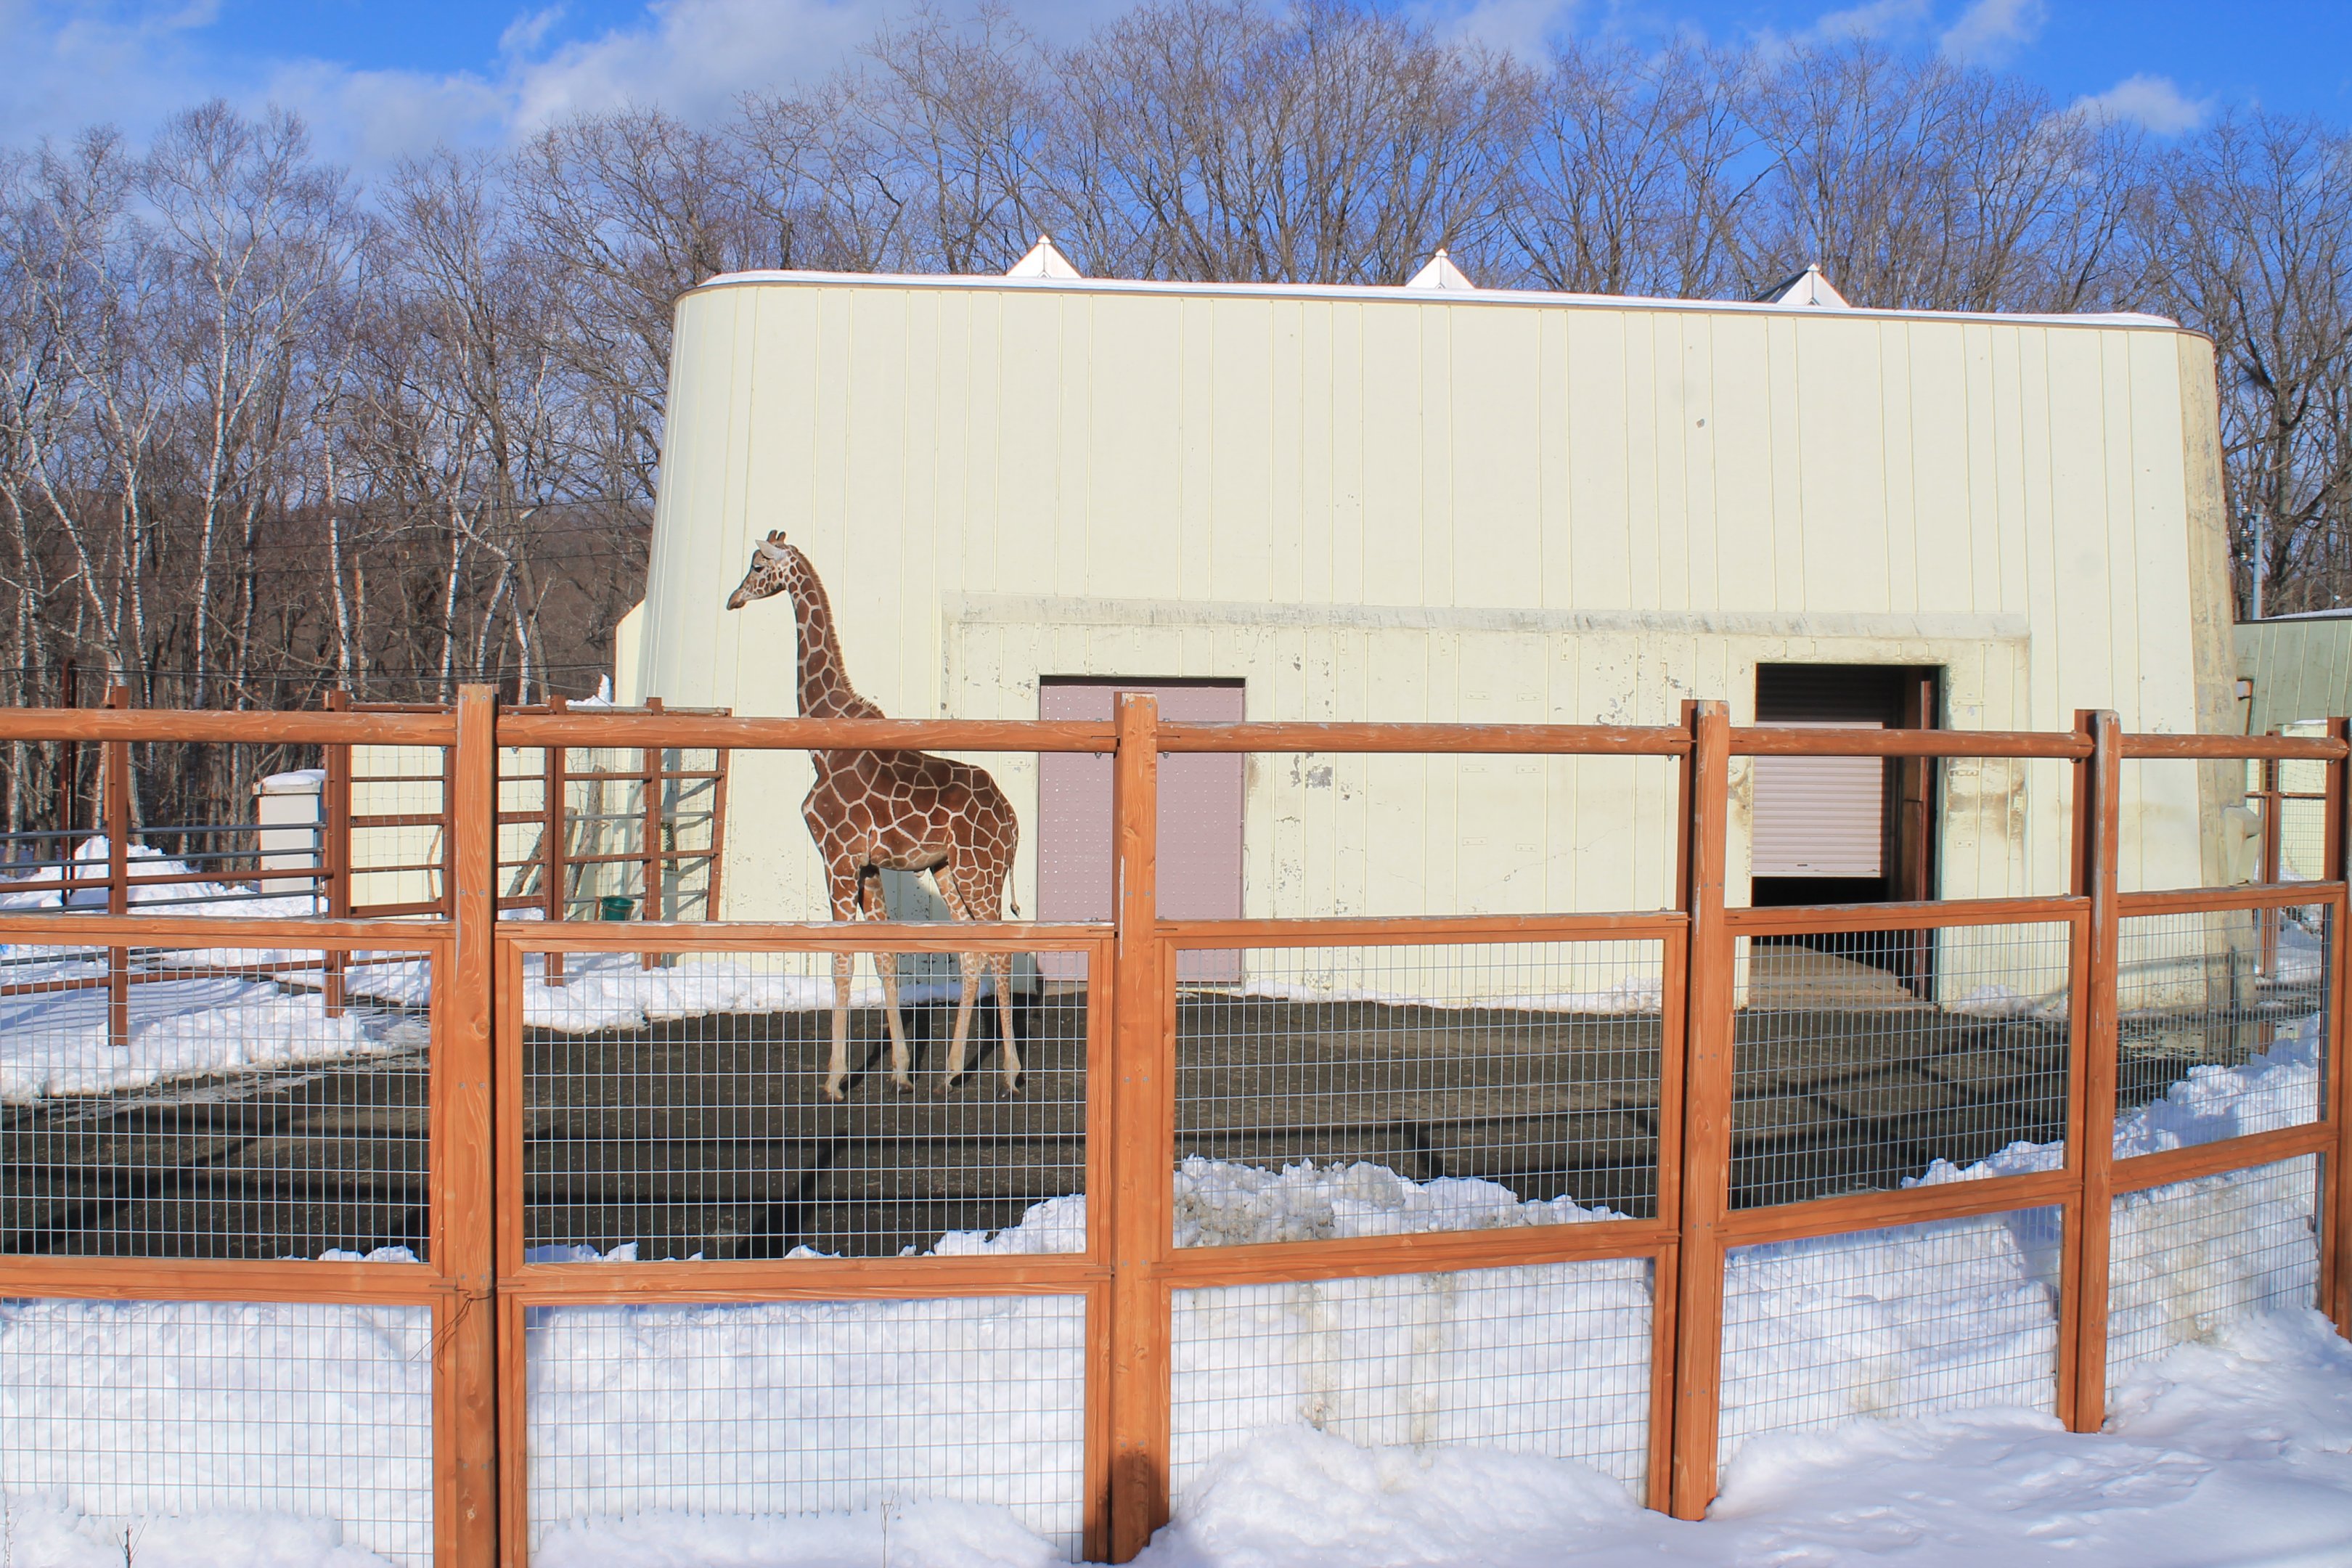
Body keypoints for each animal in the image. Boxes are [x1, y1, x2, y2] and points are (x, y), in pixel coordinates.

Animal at [726, 531, 1025, 1099]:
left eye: (756, 566)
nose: (733, 600)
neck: (822, 746)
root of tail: (1014, 820)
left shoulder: (837, 858)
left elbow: (842, 962)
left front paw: (835, 1080)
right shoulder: (866, 865)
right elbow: (883, 955)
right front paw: (902, 1069)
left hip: (981, 871)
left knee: (1000, 950)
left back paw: (1012, 1074)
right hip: (949, 869)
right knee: (972, 952)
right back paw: (951, 1070)